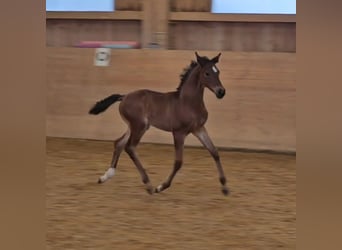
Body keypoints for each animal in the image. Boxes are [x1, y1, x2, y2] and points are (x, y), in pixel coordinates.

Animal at [89, 51, 230, 195]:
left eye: (218, 72)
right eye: (207, 73)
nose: (221, 92)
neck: (188, 102)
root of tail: (124, 97)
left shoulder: (199, 129)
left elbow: (214, 152)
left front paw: (224, 187)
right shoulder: (179, 132)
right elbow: (178, 162)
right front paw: (161, 186)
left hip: (133, 127)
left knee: (119, 143)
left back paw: (105, 176)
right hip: (139, 126)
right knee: (130, 147)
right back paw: (148, 185)